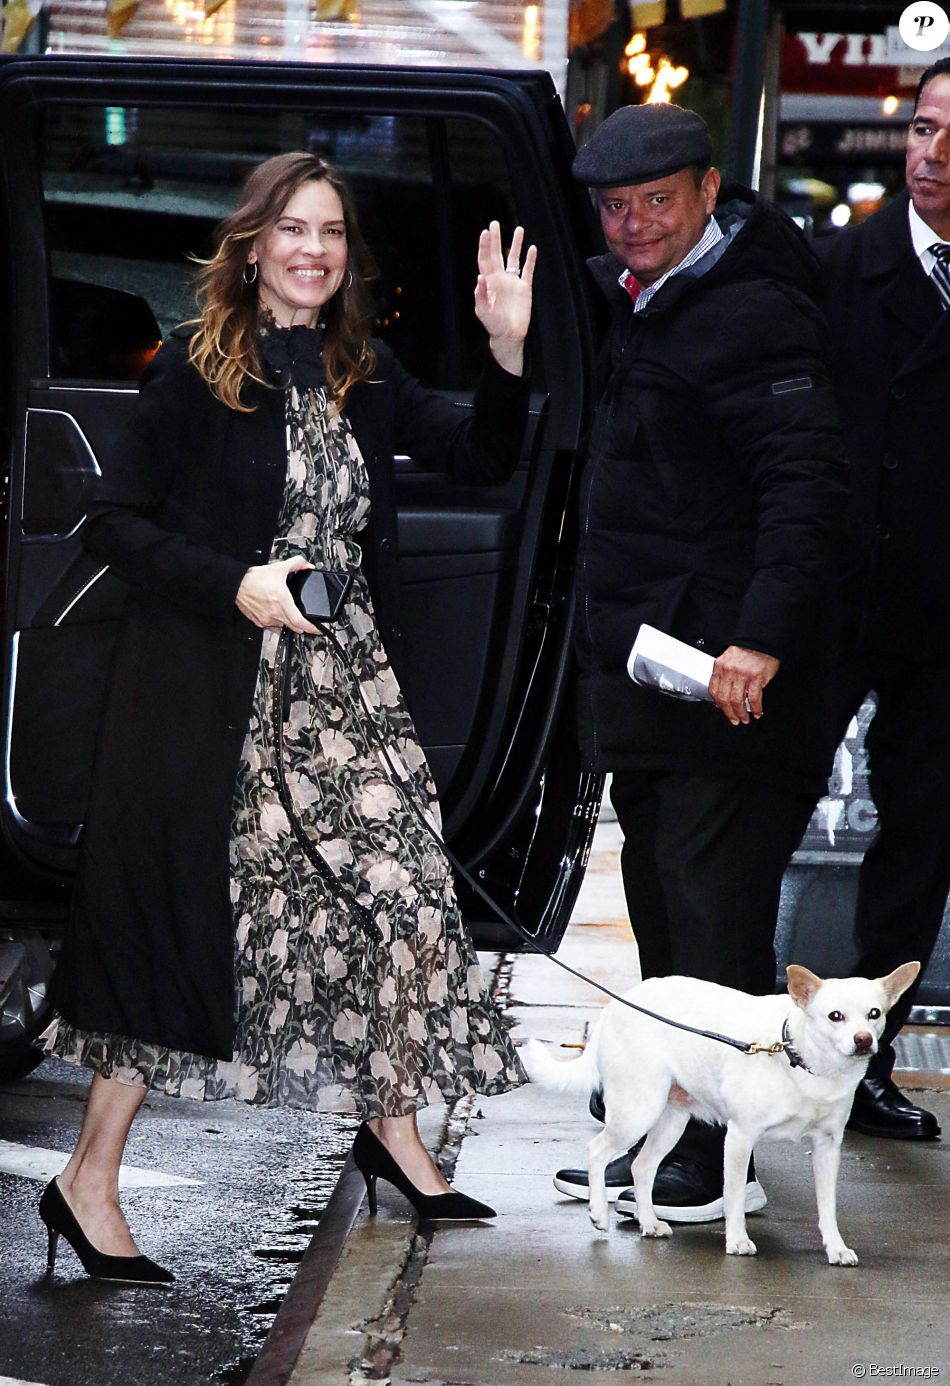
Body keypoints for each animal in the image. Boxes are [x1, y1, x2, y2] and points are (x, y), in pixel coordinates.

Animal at [527, 964, 920, 1269]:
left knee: (642, 1166)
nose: (863, 1039)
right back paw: (598, 1211)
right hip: (637, 1111)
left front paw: (835, 1248)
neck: (798, 1057)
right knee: (597, 1150)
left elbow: (828, 1206)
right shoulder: (740, 1137)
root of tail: (617, 1003)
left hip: (671, 1121)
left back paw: (649, 1222)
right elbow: (732, 1197)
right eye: (835, 1016)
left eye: (874, 1014)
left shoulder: (827, 1148)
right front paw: (736, 1241)